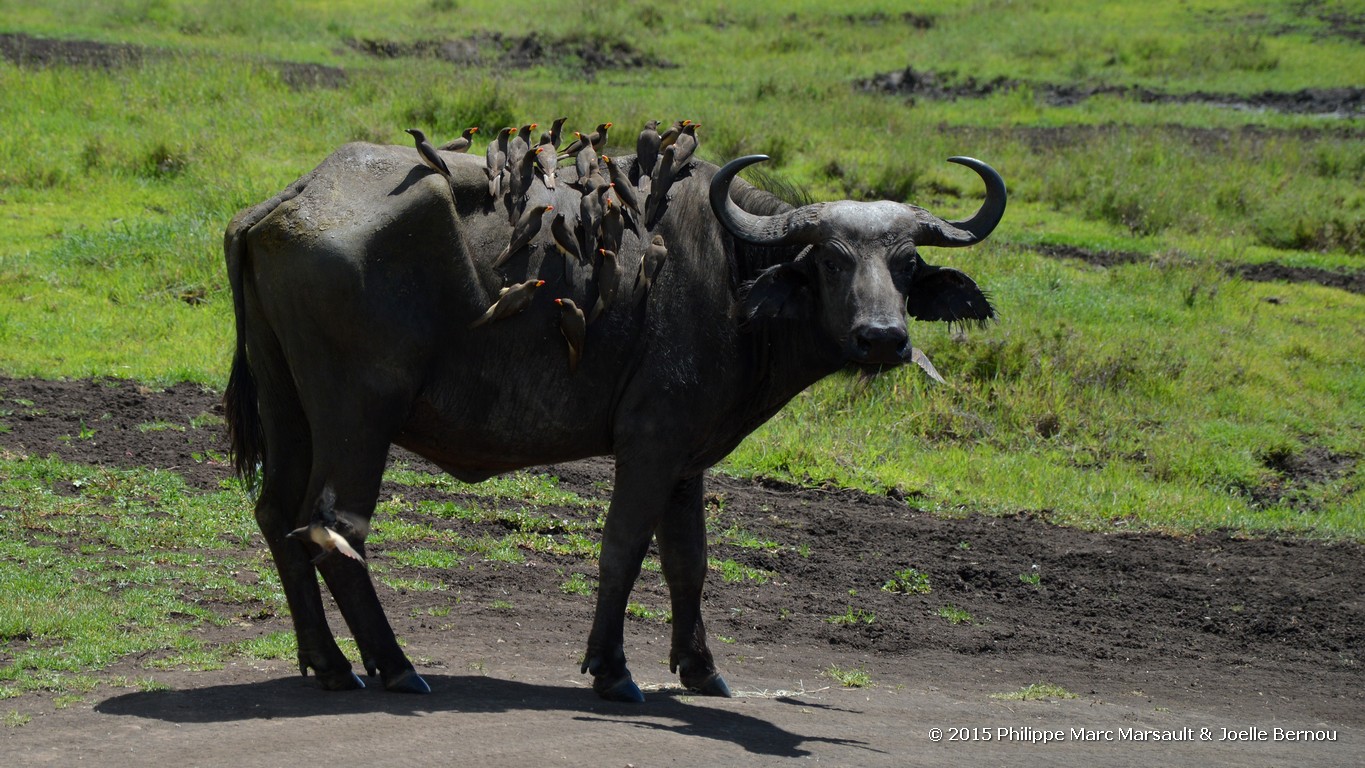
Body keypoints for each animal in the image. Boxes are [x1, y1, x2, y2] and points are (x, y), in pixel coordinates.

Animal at [223, 136, 1010, 703]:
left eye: (906, 265)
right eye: (831, 260)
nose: (882, 337)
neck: (732, 275)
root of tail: (288, 202)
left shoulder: (687, 460)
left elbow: (689, 561)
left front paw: (701, 667)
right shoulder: (649, 445)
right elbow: (623, 549)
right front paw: (612, 669)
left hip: (289, 406)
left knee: (278, 515)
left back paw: (329, 662)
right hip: (360, 417)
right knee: (335, 531)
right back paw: (394, 665)